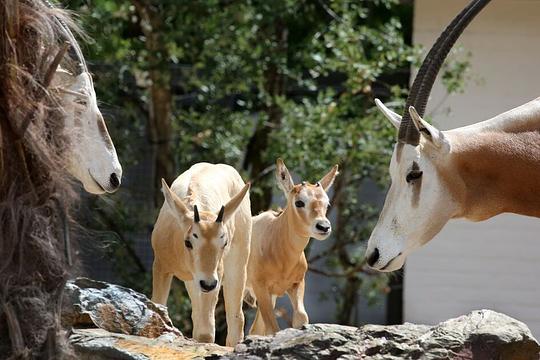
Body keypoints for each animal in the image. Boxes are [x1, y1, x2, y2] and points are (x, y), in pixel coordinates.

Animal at [151, 163, 252, 346]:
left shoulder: (216, 275)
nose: (208, 284)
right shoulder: (161, 266)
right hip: (194, 282)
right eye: (188, 242)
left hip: (237, 265)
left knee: (236, 318)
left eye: (224, 242)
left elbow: (206, 333)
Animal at [246, 159, 338, 336]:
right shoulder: (260, 286)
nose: (323, 227)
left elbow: (301, 318)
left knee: (254, 329)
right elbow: (273, 328)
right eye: (299, 202)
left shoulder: (295, 284)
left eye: (327, 202)